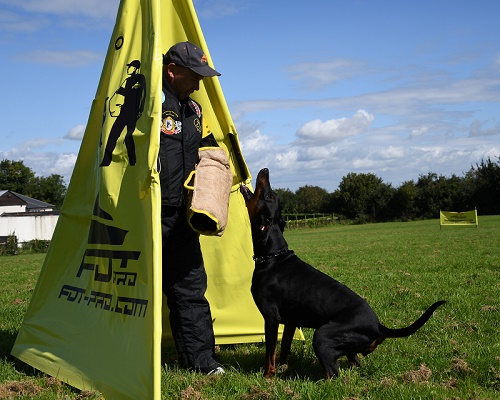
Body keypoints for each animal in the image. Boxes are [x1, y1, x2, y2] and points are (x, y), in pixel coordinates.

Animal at [241, 168, 446, 378]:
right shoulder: (291, 321)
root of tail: (378, 327)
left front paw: (268, 376)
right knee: (353, 362)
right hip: (346, 347)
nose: (265, 171)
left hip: (322, 337)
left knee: (333, 374)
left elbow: (270, 353)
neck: (273, 257)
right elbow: (284, 348)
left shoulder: (271, 318)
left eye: (268, 195)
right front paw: (282, 368)